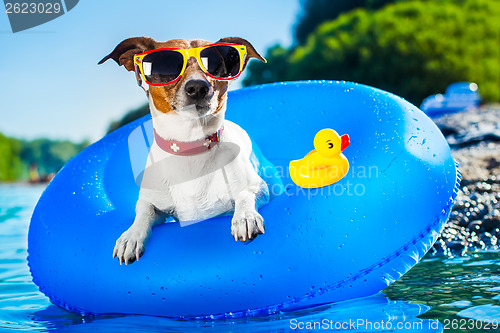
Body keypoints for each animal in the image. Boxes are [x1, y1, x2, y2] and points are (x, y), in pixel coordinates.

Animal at [98, 37, 270, 264]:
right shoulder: (154, 203)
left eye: (215, 64)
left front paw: (244, 217)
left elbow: (245, 194)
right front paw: (131, 236)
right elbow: (143, 211)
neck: (190, 147)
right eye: (167, 64)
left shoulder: (259, 188)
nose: (198, 87)